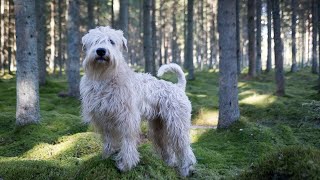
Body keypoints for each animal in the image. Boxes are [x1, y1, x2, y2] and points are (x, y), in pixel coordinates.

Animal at [79, 26, 195, 176]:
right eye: (94, 41)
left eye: (111, 41)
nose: (101, 51)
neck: (104, 77)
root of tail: (178, 87)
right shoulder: (103, 118)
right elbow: (108, 139)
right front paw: (107, 155)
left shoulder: (127, 118)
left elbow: (127, 142)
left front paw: (125, 165)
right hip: (159, 126)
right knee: (167, 147)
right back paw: (169, 164)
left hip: (177, 124)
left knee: (184, 148)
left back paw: (186, 169)